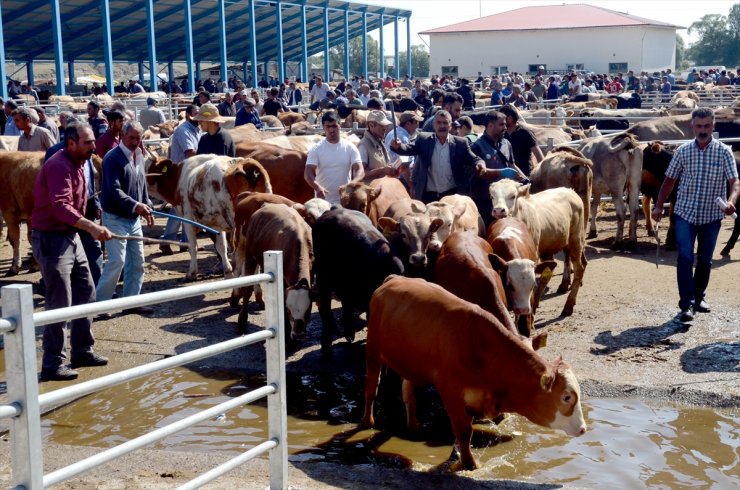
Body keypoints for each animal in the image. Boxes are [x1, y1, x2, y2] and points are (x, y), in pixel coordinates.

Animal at [312, 207, 404, 356]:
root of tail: (336, 209)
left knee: (345, 303)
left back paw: (349, 333)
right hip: (323, 276)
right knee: (326, 308)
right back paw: (327, 349)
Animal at [362, 276, 588, 470]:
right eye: (566, 397)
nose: (583, 429)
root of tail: (393, 279)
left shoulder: (474, 397)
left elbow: (465, 431)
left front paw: (457, 454)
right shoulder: (450, 389)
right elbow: (463, 430)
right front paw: (470, 464)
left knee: (408, 392)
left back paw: (413, 426)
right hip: (373, 350)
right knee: (371, 388)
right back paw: (367, 422)